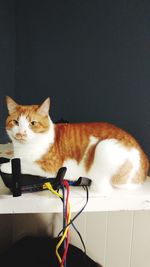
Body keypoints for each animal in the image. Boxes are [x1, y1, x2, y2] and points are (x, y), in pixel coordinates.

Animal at [0, 96, 149, 195]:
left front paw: (5, 165)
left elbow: (22, 164)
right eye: (15, 122)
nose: (21, 133)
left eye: (33, 123)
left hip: (104, 147)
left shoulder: (49, 168)